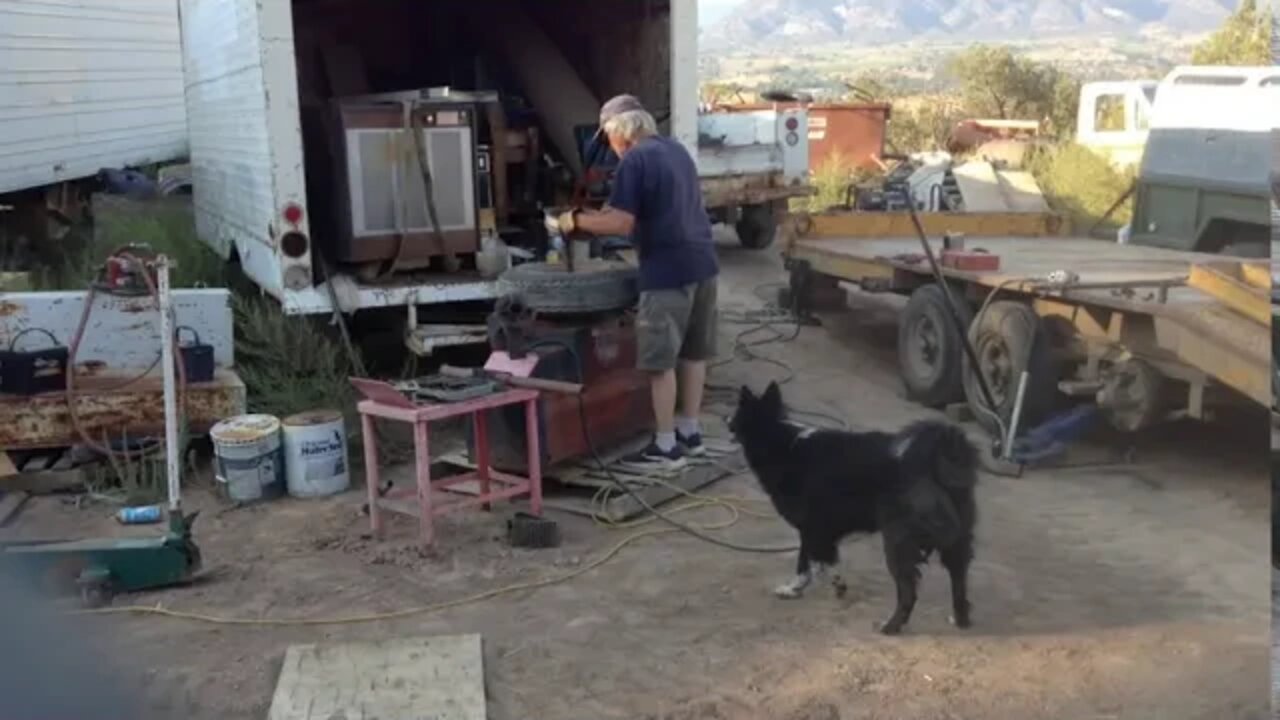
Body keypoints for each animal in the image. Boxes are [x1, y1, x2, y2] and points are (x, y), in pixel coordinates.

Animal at [732, 381, 977, 632]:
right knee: (959, 579)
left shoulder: (813, 527)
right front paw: (813, 584)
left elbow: (811, 561)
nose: (728, 423)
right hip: (955, 538)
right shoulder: (817, 530)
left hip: (897, 540)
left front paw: (814, 586)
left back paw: (890, 626)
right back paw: (960, 619)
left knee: (908, 590)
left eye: (736, 414)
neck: (782, 442)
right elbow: (815, 559)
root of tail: (938, 455)